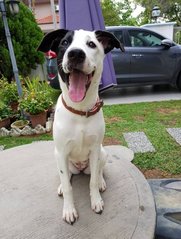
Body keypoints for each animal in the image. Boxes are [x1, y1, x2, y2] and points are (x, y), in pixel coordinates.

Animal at [37, 28, 123, 224]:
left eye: (91, 44)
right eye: (64, 43)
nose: (75, 53)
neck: (80, 111)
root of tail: (82, 168)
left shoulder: (95, 150)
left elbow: (92, 182)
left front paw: (96, 200)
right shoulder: (61, 151)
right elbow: (69, 187)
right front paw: (69, 210)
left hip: (103, 153)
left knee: (97, 172)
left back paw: (101, 181)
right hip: (59, 158)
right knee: (66, 176)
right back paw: (62, 185)